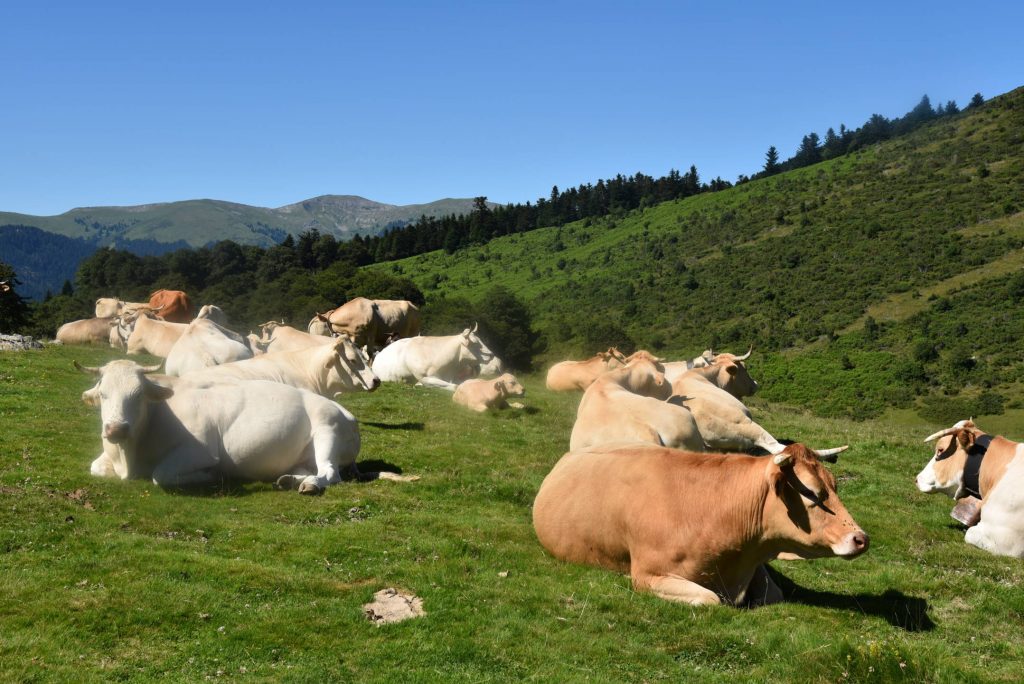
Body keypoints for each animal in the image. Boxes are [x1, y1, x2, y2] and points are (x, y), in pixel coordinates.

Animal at [77, 360, 416, 494]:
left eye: (139, 395)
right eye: (103, 394)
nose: (115, 429)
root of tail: (348, 415)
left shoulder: (200, 451)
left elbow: (162, 475)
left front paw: (211, 477)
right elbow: (94, 467)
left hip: (327, 431)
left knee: (330, 473)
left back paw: (308, 486)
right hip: (303, 454)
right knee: (311, 470)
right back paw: (290, 480)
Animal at [534, 442, 867, 606]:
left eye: (834, 485)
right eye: (812, 492)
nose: (861, 538)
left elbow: (774, 594)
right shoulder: (647, 575)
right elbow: (709, 600)